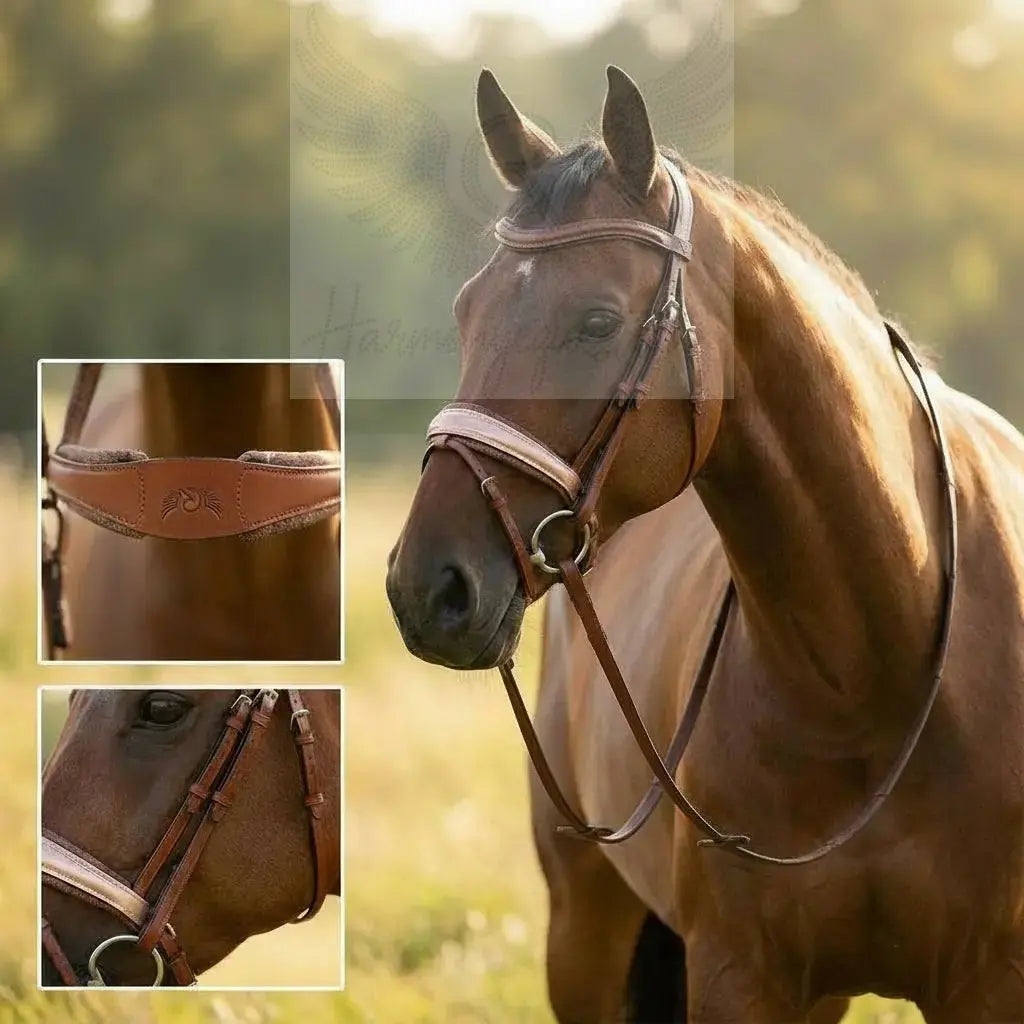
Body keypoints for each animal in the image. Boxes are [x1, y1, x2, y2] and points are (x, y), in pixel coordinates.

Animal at [386, 67, 1024, 1022]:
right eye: (468, 313)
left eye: (598, 320)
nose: (428, 587)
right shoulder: (737, 976)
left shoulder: (989, 982)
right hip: (583, 933)